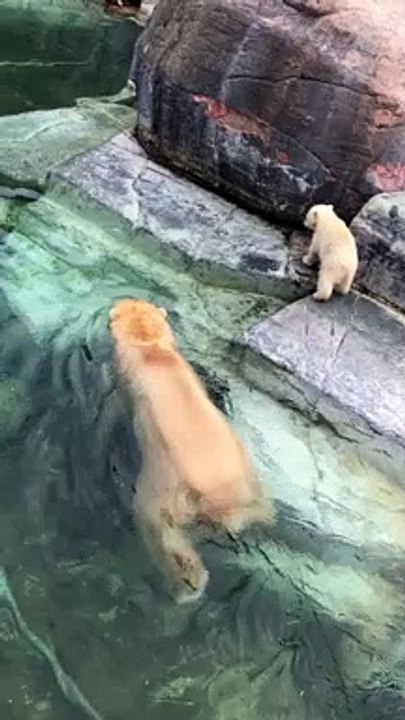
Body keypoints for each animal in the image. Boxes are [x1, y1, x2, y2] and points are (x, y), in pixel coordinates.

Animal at [109, 298, 275, 603]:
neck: (153, 351)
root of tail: (221, 500)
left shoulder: (128, 379)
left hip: (167, 487)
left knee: (159, 529)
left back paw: (189, 585)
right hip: (250, 481)